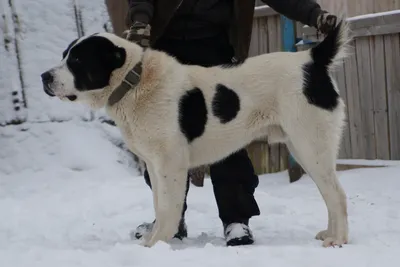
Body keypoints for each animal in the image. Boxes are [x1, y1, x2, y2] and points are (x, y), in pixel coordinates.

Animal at [41, 19, 350, 248]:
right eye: (65, 55)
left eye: (77, 60)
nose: (44, 77)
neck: (135, 82)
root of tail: (312, 59)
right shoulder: (154, 164)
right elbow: (159, 205)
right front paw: (156, 238)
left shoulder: (171, 165)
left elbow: (168, 207)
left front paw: (155, 244)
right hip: (303, 148)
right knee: (329, 194)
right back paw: (329, 233)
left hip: (311, 144)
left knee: (337, 194)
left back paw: (338, 239)